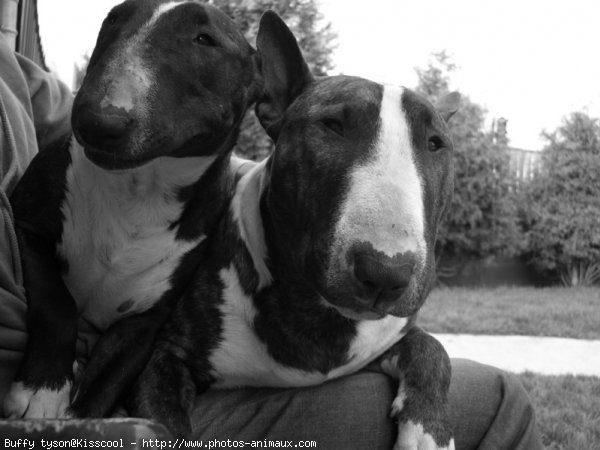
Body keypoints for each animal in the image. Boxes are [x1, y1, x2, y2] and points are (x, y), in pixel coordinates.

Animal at [2, 0, 260, 420]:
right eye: (113, 19)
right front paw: (41, 391)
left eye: (205, 39)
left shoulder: (145, 322)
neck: (141, 191)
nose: (95, 120)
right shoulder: (26, 228)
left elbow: (105, 389)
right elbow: (58, 304)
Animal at [118, 11, 460, 450]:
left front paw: (426, 431)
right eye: (332, 124)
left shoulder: (384, 340)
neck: (316, 314)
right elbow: (163, 419)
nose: (386, 273)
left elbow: (433, 348)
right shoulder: (165, 355)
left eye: (435, 143)